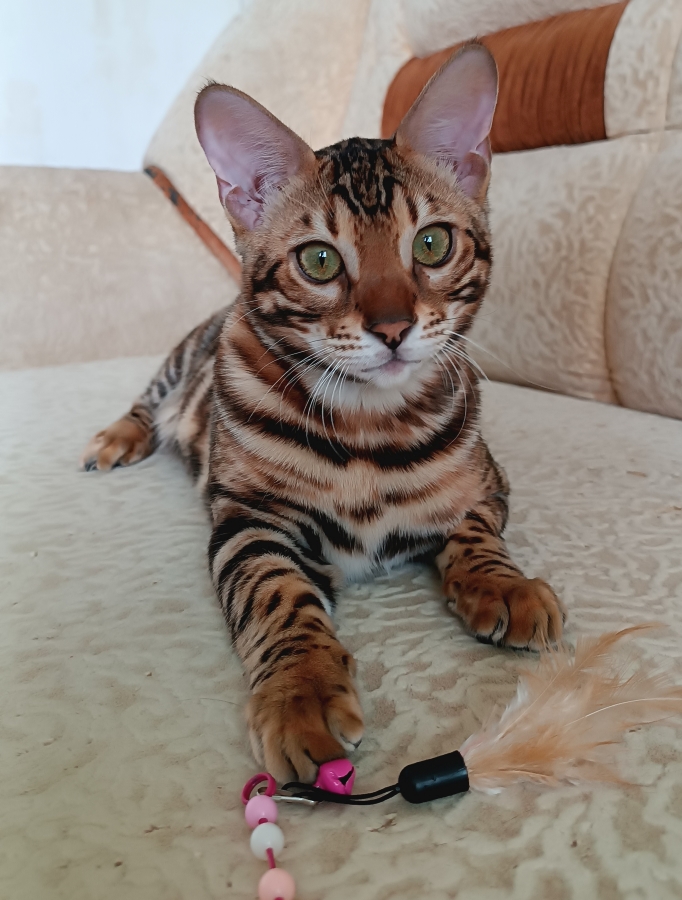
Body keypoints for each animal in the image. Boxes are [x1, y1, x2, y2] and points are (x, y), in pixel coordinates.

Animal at [81, 44, 565, 783]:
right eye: (318, 260)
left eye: (431, 244)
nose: (393, 328)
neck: (371, 423)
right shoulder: (248, 521)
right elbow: (276, 591)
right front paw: (300, 693)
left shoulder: (490, 483)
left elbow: (474, 530)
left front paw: (502, 585)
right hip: (183, 357)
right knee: (146, 400)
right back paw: (116, 438)